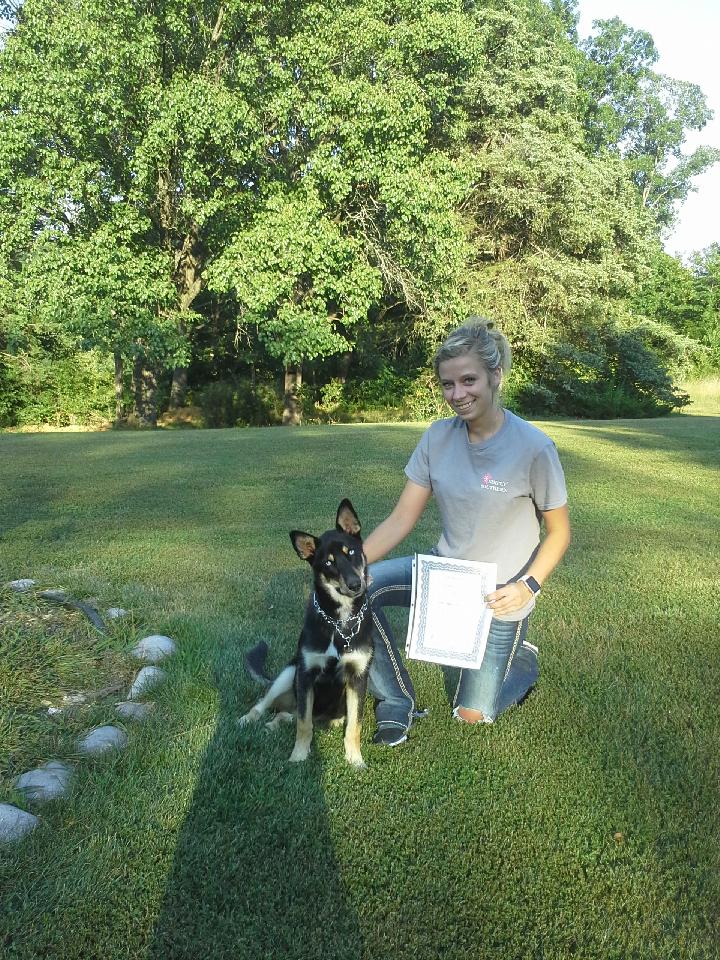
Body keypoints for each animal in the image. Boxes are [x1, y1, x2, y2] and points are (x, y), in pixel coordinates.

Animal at [239, 499, 373, 768]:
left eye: (351, 552)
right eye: (329, 562)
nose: (356, 585)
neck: (339, 622)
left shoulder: (358, 677)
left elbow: (355, 726)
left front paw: (355, 760)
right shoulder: (306, 674)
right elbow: (304, 725)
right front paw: (298, 757)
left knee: (287, 714)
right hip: (288, 672)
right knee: (268, 704)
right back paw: (251, 719)